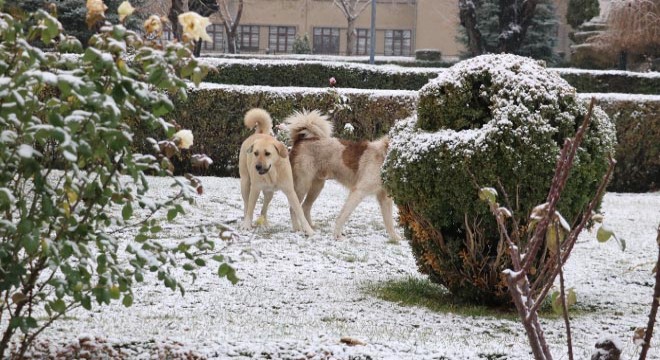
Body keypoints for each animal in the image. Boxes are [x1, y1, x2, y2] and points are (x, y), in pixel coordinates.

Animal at [237, 107, 314, 236]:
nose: (257, 167)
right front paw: (246, 225)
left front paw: (308, 230)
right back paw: (246, 222)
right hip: (245, 183)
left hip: (269, 194)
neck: (272, 173)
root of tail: (259, 133)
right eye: (256, 153)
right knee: (246, 205)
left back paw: (265, 224)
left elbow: (299, 211)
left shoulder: (290, 191)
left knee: (264, 209)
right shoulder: (255, 189)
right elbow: (250, 209)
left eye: (267, 153)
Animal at [284, 108, 402, 240]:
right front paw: (337, 235)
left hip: (317, 186)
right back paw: (298, 229)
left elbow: (389, 222)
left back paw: (310, 227)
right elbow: (344, 215)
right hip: (303, 185)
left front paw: (396, 239)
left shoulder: (385, 198)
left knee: (305, 207)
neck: (383, 157)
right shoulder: (358, 191)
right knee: (294, 208)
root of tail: (301, 140)